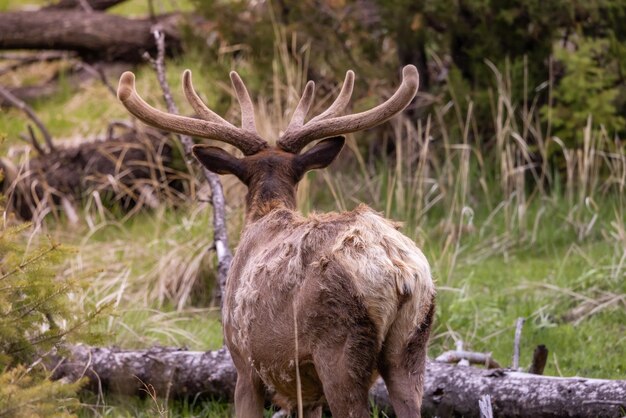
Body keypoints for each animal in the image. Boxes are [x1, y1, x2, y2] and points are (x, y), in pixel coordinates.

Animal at [117, 65, 434, 418]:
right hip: (411, 345)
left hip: (340, 348)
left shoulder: (244, 363)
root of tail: (397, 270)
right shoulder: (306, 391)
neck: (264, 214)